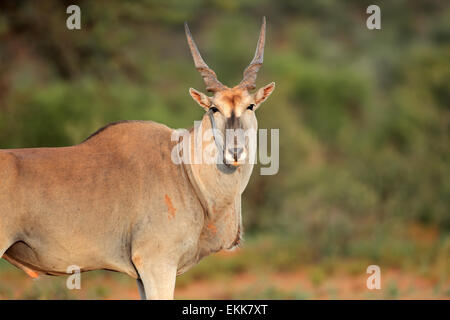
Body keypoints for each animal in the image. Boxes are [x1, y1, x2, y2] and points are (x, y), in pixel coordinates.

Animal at [0, 17, 274, 298]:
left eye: (250, 106)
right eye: (214, 108)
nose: (235, 152)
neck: (185, 168)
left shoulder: (143, 274)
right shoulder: (157, 264)